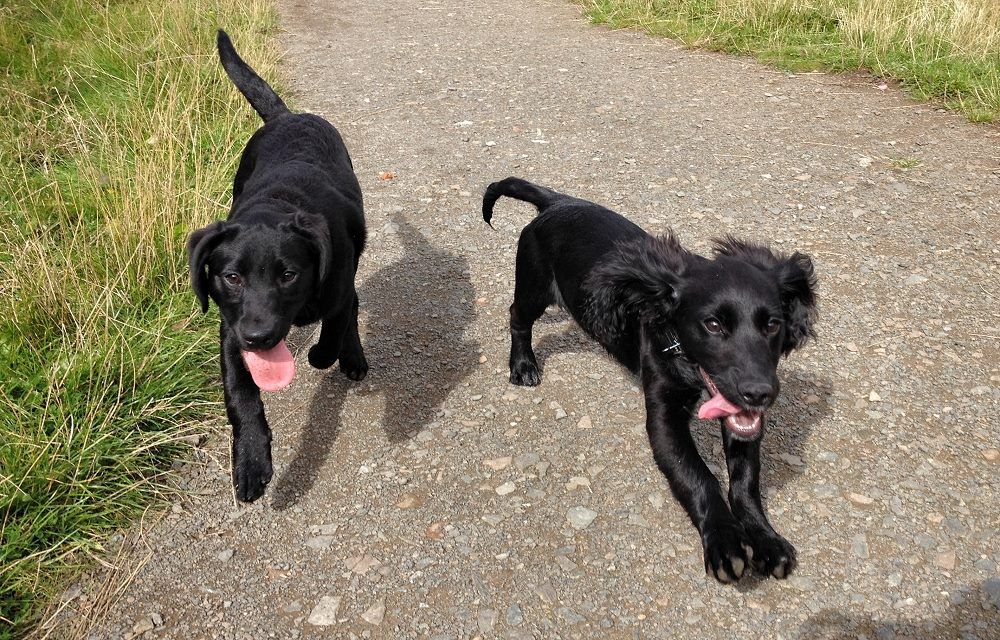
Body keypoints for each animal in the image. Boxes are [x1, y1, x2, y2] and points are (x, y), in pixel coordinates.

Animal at [188, 31, 368, 504]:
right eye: (231, 277)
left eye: (289, 275)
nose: (260, 336)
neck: (278, 204)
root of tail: (289, 114)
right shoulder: (230, 329)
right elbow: (242, 394)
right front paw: (251, 462)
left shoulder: (335, 286)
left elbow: (334, 327)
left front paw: (326, 354)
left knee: (353, 305)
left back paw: (353, 356)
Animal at [480, 178, 816, 584]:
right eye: (712, 324)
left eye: (772, 324)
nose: (759, 393)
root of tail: (558, 202)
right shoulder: (663, 417)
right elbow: (698, 476)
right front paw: (725, 542)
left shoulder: (741, 420)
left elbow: (745, 481)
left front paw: (765, 538)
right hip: (533, 286)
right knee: (517, 316)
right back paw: (523, 364)